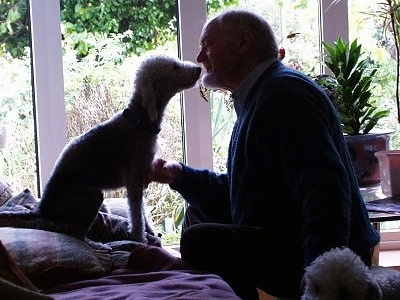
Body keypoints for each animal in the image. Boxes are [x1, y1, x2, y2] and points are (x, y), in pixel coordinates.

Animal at [31, 53, 202, 246]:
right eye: (174, 67)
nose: (198, 69)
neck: (139, 122)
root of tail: (42, 209)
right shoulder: (134, 181)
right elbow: (136, 216)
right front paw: (139, 239)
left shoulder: (141, 179)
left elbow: (142, 212)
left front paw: (150, 233)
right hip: (92, 196)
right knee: (78, 234)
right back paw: (98, 245)